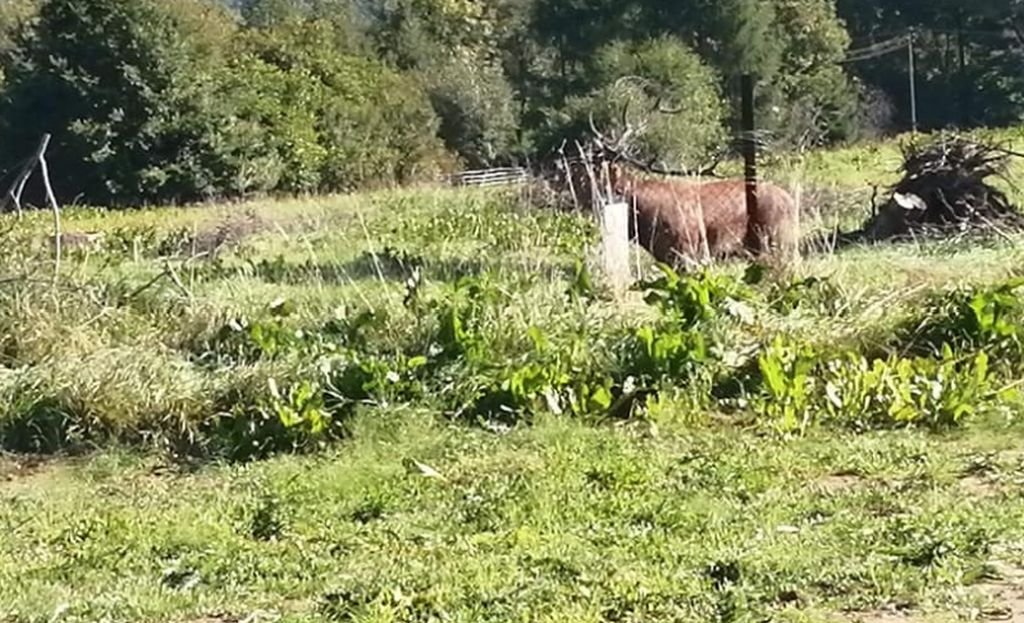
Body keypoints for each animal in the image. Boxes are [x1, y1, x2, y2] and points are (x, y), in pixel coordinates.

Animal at [548, 88, 802, 272]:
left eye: (587, 169)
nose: (559, 168)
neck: (642, 220)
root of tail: (790, 201)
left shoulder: (685, 252)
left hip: (777, 239)